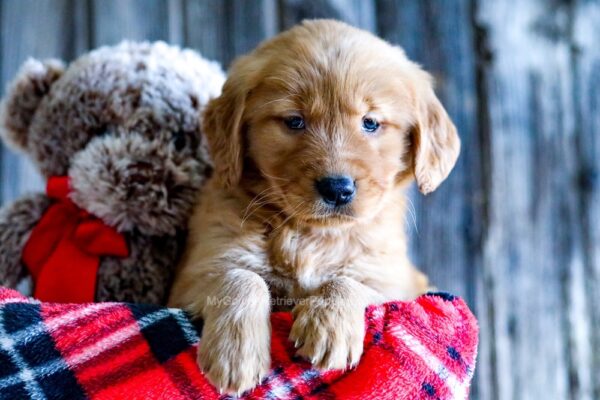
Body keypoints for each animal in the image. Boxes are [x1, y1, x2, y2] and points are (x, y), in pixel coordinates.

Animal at [169, 18, 460, 394]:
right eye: (294, 121)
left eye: (370, 122)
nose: (337, 189)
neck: (311, 236)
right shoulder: (193, 276)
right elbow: (241, 277)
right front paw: (235, 353)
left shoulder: (398, 282)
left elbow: (349, 282)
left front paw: (329, 325)